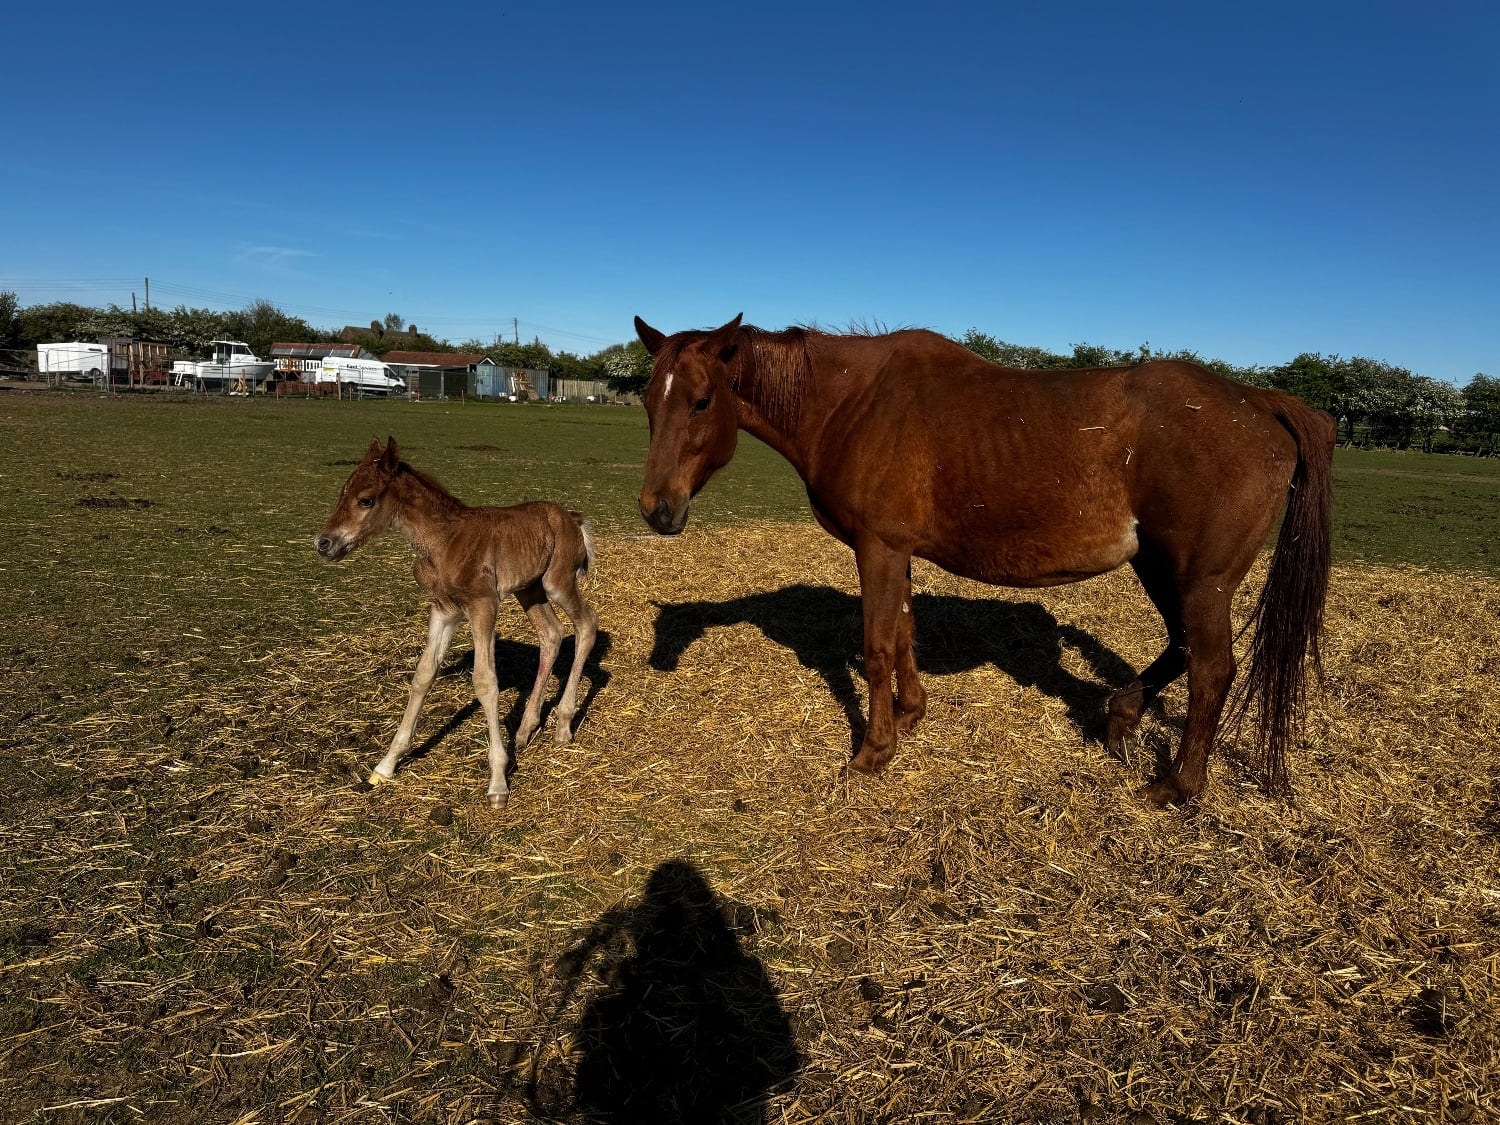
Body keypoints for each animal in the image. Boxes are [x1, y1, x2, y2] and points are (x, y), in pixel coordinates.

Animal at [316, 437, 598, 807]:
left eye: (366, 500)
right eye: (341, 494)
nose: (324, 543)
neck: (442, 541)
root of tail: (573, 518)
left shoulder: (483, 605)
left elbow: (485, 681)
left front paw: (497, 783)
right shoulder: (443, 611)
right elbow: (424, 674)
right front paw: (386, 765)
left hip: (558, 582)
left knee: (587, 626)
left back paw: (563, 726)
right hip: (529, 589)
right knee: (551, 634)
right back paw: (525, 729)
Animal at [633, 315, 1334, 805]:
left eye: (701, 401)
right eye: (647, 401)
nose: (656, 509)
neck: (853, 402)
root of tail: (1259, 402)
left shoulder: (878, 548)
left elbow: (877, 646)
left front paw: (874, 750)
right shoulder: (897, 552)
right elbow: (905, 631)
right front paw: (910, 714)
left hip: (1200, 580)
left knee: (1212, 669)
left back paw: (1179, 785)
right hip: (1162, 569)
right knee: (1183, 647)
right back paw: (1122, 716)